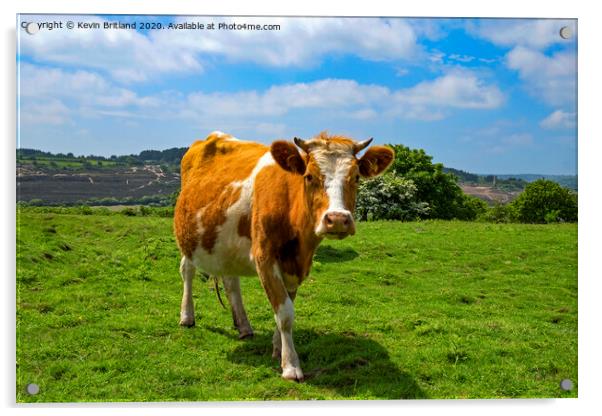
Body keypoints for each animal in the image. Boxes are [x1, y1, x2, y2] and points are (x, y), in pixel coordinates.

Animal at [172, 132, 394, 382]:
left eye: (356, 177)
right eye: (309, 176)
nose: (337, 219)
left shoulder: (295, 266)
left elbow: (285, 308)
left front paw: (278, 349)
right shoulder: (265, 259)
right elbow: (286, 314)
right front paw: (290, 365)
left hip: (226, 245)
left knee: (231, 281)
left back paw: (244, 327)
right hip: (188, 240)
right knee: (187, 271)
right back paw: (187, 316)